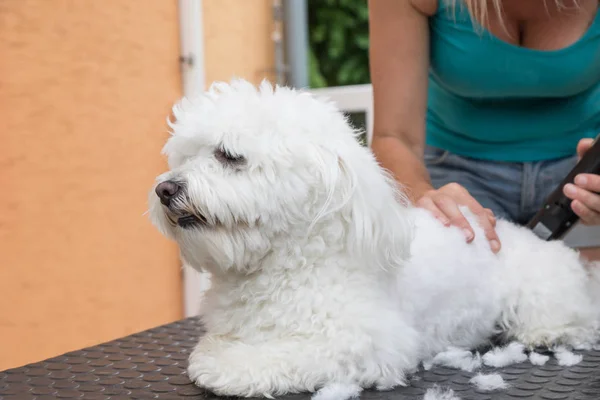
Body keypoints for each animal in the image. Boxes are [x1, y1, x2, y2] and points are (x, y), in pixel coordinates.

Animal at [149, 79, 596, 398]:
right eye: (185, 156)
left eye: (229, 156)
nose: (164, 189)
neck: (285, 261)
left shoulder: (366, 342)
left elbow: (282, 354)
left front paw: (229, 365)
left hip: (543, 295)